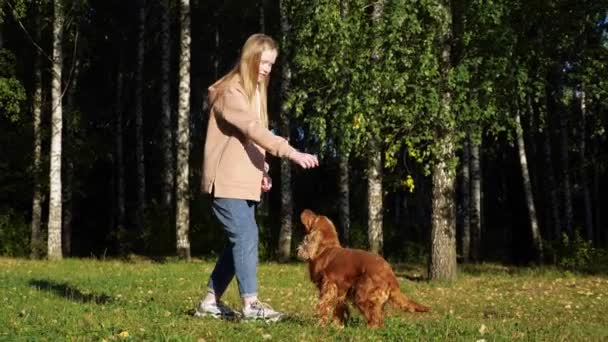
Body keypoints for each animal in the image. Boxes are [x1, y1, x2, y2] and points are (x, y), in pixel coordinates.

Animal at [296, 210, 430, 328]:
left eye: (314, 217)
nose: (305, 210)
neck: (325, 249)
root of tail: (390, 275)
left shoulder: (328, 286)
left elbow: (323, 306)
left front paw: (320, 325)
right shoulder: (341, 291)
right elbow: (339, 309)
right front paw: (338, 326)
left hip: (362, 294)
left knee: (375, 318)